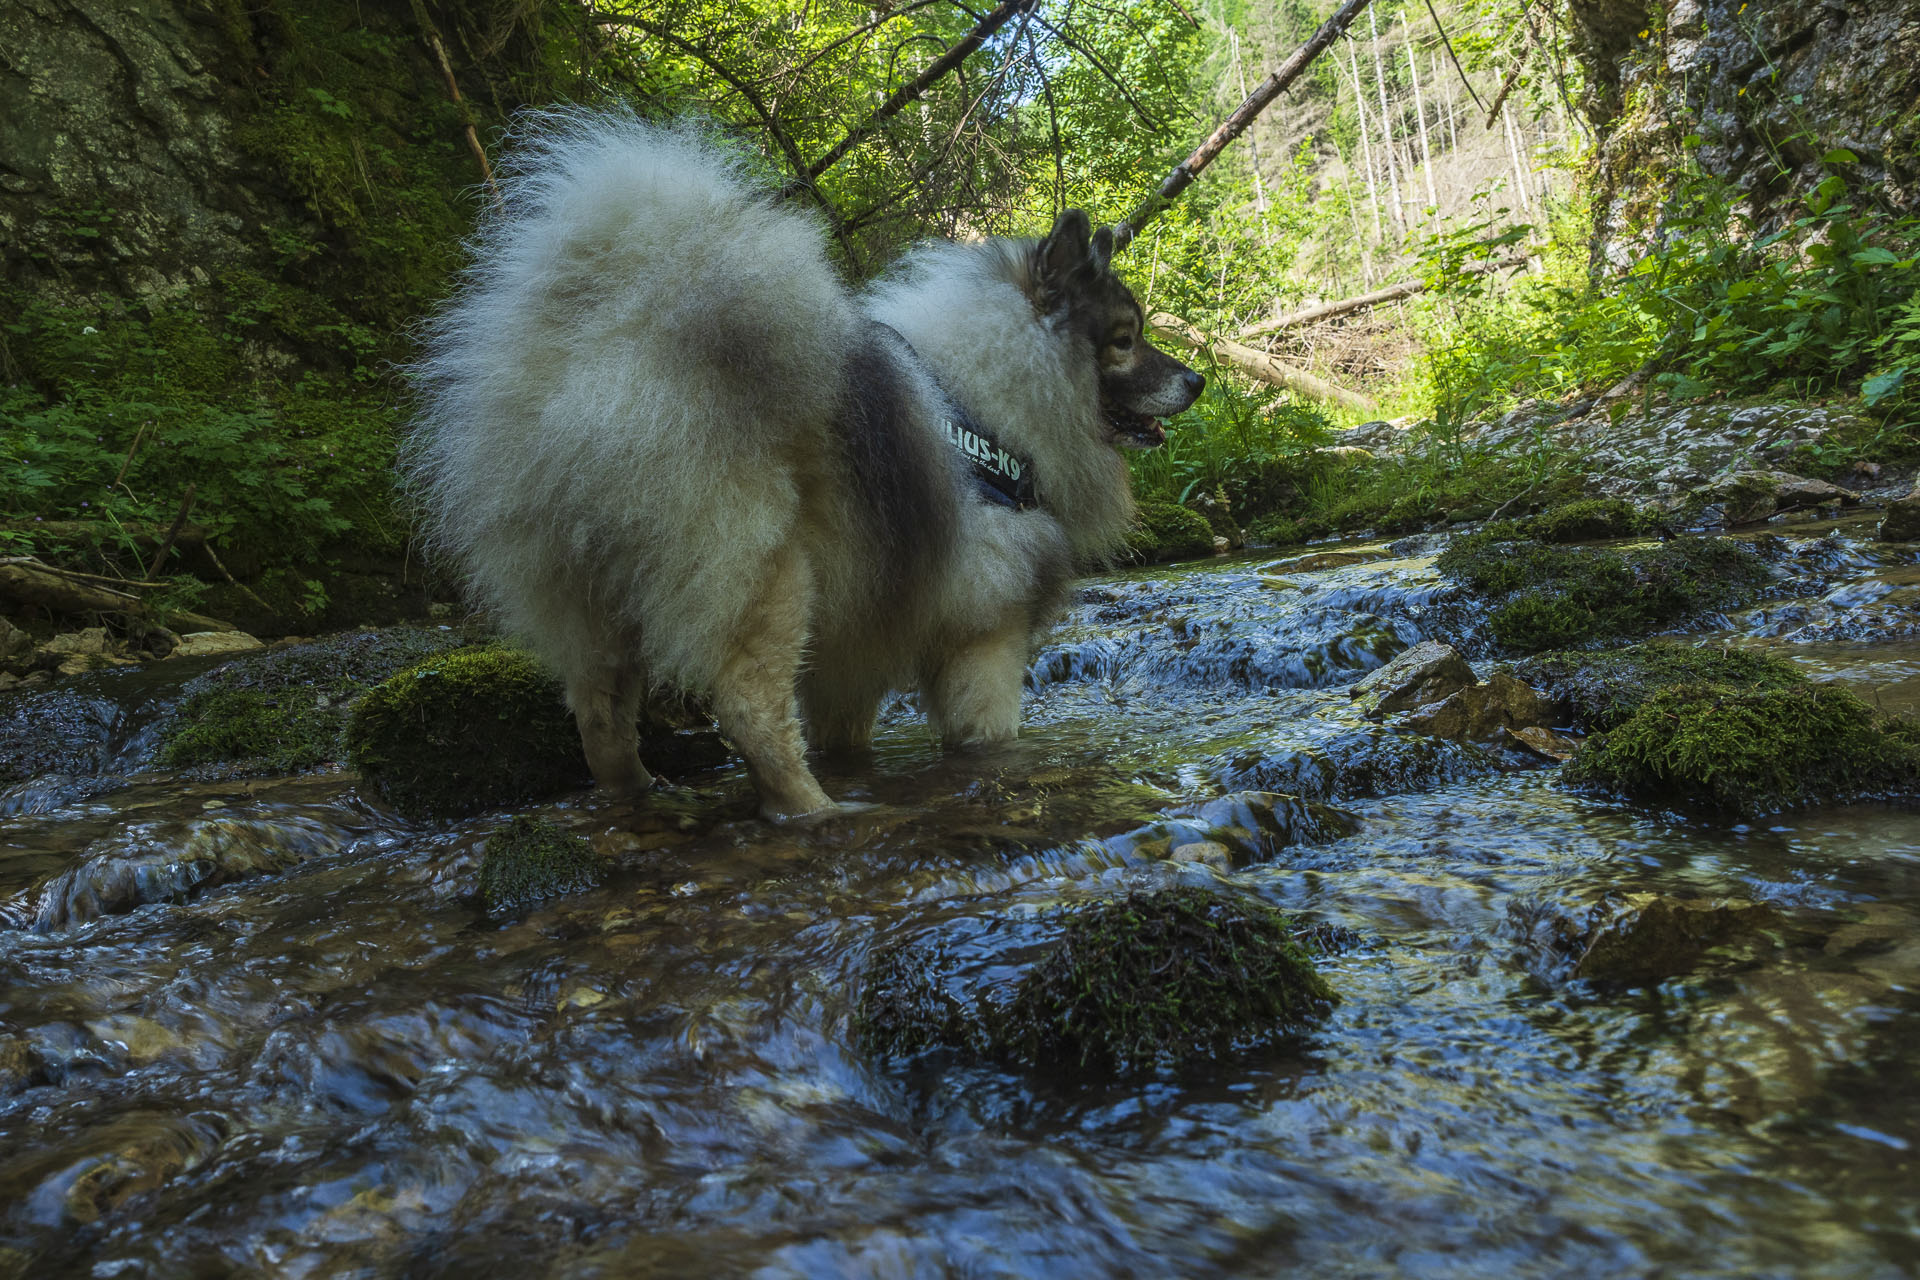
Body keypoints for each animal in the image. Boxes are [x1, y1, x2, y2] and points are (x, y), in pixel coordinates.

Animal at [408, 107, 1198, 809]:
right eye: (1124, 339)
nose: (1197, 380)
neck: (992, 397)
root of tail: (604, 350)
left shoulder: (854, 649)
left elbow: (845, 729)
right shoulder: (984, 635)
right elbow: (988, 734)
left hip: (589, 597)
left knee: (600, 719)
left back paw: (641, 794)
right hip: (765, 577)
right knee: (749, 711)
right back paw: (814, 808)